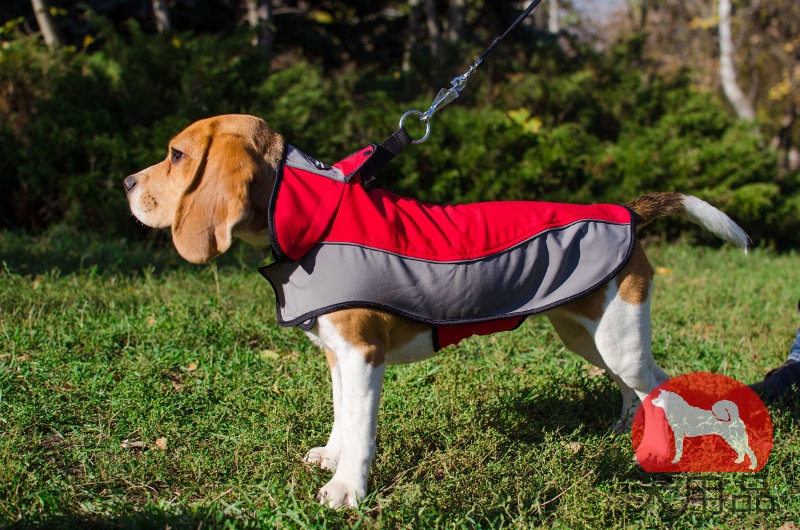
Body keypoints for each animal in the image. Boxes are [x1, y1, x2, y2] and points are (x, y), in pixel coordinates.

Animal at [123, 113, 752, 506]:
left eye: (177, 155)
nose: (127, 182)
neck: (313, 214)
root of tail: (624, 211)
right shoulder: (337, 357)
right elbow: (341, 416)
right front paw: (332, 458)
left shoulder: (362, 355)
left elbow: (361, 427)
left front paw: (348, 491)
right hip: (585, 334)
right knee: (635, 387)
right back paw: (625, 426)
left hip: (618, 339)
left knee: (659, 386)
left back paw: (655, 447)